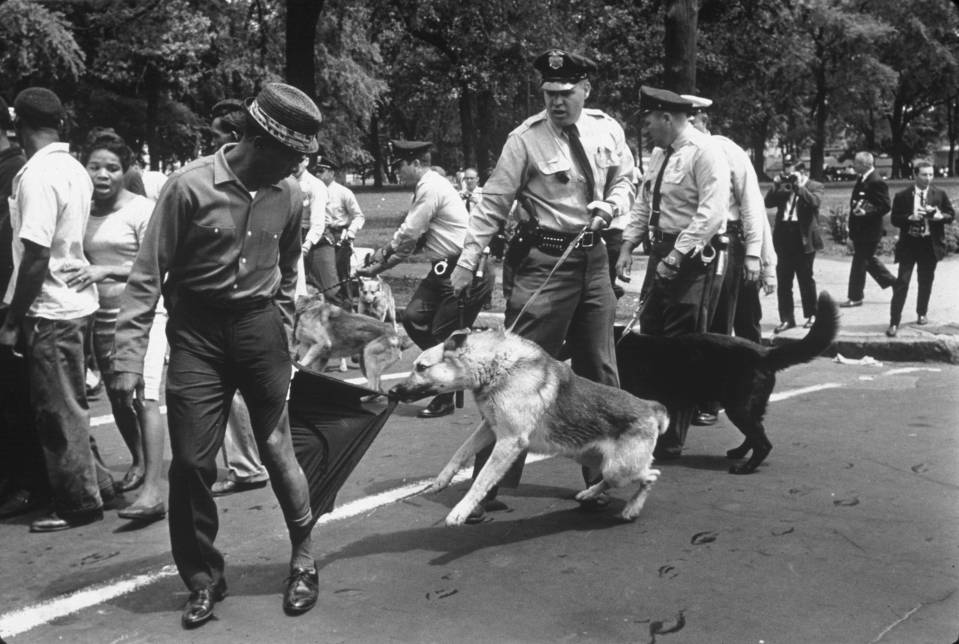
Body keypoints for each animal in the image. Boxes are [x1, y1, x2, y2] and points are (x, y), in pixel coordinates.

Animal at [388, 330, 668, 524]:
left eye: (421, 367)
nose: (391, 391)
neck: (495, 367)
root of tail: (650, 407)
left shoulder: (509, 441)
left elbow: (481, 479)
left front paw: (461, 511)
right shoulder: (489, 428)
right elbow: (460, 453)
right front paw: (442, 480)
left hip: (619, 468)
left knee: (651, 476)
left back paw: (631, 508)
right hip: (593, 459)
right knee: (609, 480)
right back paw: (589, 494)